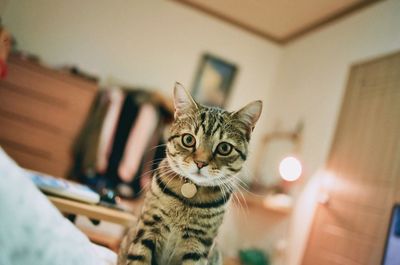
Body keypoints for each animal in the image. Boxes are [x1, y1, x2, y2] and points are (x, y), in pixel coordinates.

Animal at [118, 82, 262, 264]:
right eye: (188, 139)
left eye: (224, 148)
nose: (201, 163)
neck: (188, 197)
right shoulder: (148, 227)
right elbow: (139, 258)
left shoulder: (198, 245)